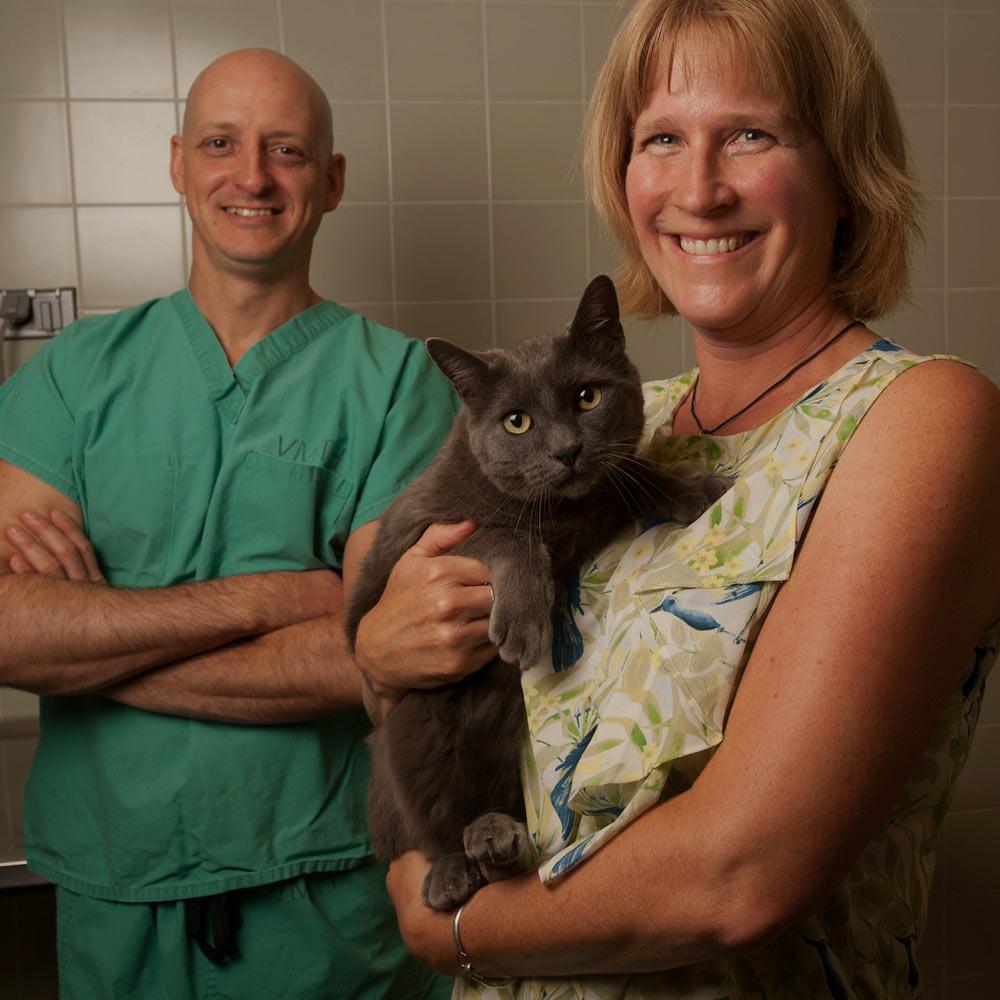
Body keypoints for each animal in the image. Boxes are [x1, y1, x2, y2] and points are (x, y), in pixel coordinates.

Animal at [346, 276, 728, 916]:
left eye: (587, 397)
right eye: (517, 422)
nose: (567, 451)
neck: (563, 514)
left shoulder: (599, 490)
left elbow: (629, 475)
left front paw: (693, 486)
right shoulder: (411, 547)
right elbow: (507, 535)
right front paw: (524, 628)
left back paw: (502, 842)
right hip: (414, 725)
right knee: (433, 823)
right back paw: (460, 864)